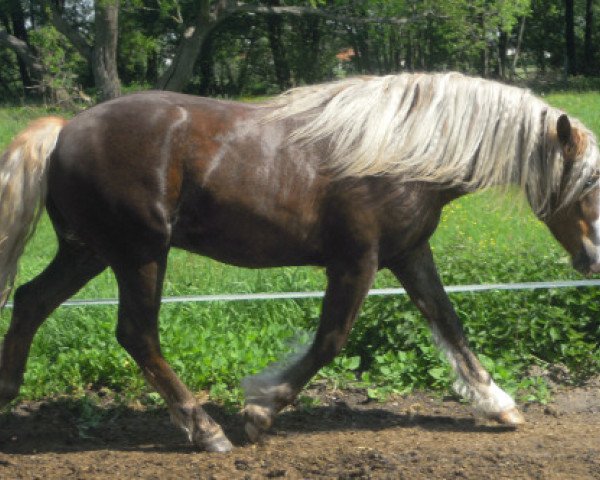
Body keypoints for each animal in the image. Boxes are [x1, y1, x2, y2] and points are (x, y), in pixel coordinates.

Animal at [1, 73, 600, 452]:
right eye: (589, 182)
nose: (592, 258)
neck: (401, 153)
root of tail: (65, 130)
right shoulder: (357, 262)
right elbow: (330, 341)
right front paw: (257, 413)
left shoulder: (409, 254)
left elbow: (449, 324)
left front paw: (498, 404)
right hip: (140, 253)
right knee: (136, 334)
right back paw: (206, 431)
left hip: (89, 252)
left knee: (30, 301)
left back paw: (7, 399)